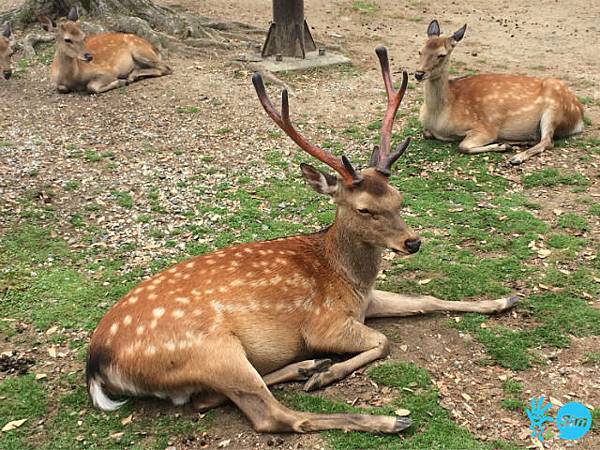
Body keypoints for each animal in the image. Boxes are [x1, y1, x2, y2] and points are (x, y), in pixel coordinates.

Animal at [38, 7, 171, 94]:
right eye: (67, 39)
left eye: (83, 35)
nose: (89, 56)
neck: (72, 78)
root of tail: (153, 47)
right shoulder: (56, 83)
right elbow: (61, 88)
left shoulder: (108, 70)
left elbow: (91, 87)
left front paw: (120, 82)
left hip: (140, 50)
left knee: (166, 68)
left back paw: (131, 76)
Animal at [86, 46, 516, 436]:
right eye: (364, 210)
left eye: (399, 198)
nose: (413, 243)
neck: (347, 276)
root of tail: (96, 364)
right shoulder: (323, 324)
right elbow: (383, 342)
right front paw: (330, 374)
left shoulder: (366, 300)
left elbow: (425, 300)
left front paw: (503, 300)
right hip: (212, 350)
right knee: (272, 416)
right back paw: (383, 417)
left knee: (205, 399)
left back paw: (308, 367)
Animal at [414, 20, 584, 165]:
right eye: (420, 51)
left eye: (441, 54)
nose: (418, 74)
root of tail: (579, 116)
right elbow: (426, 133)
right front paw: (503, 145)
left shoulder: (485, 128)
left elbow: (462, 146)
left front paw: (501, 146)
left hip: (554, 110)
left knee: (548, 141)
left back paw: (515, 157)